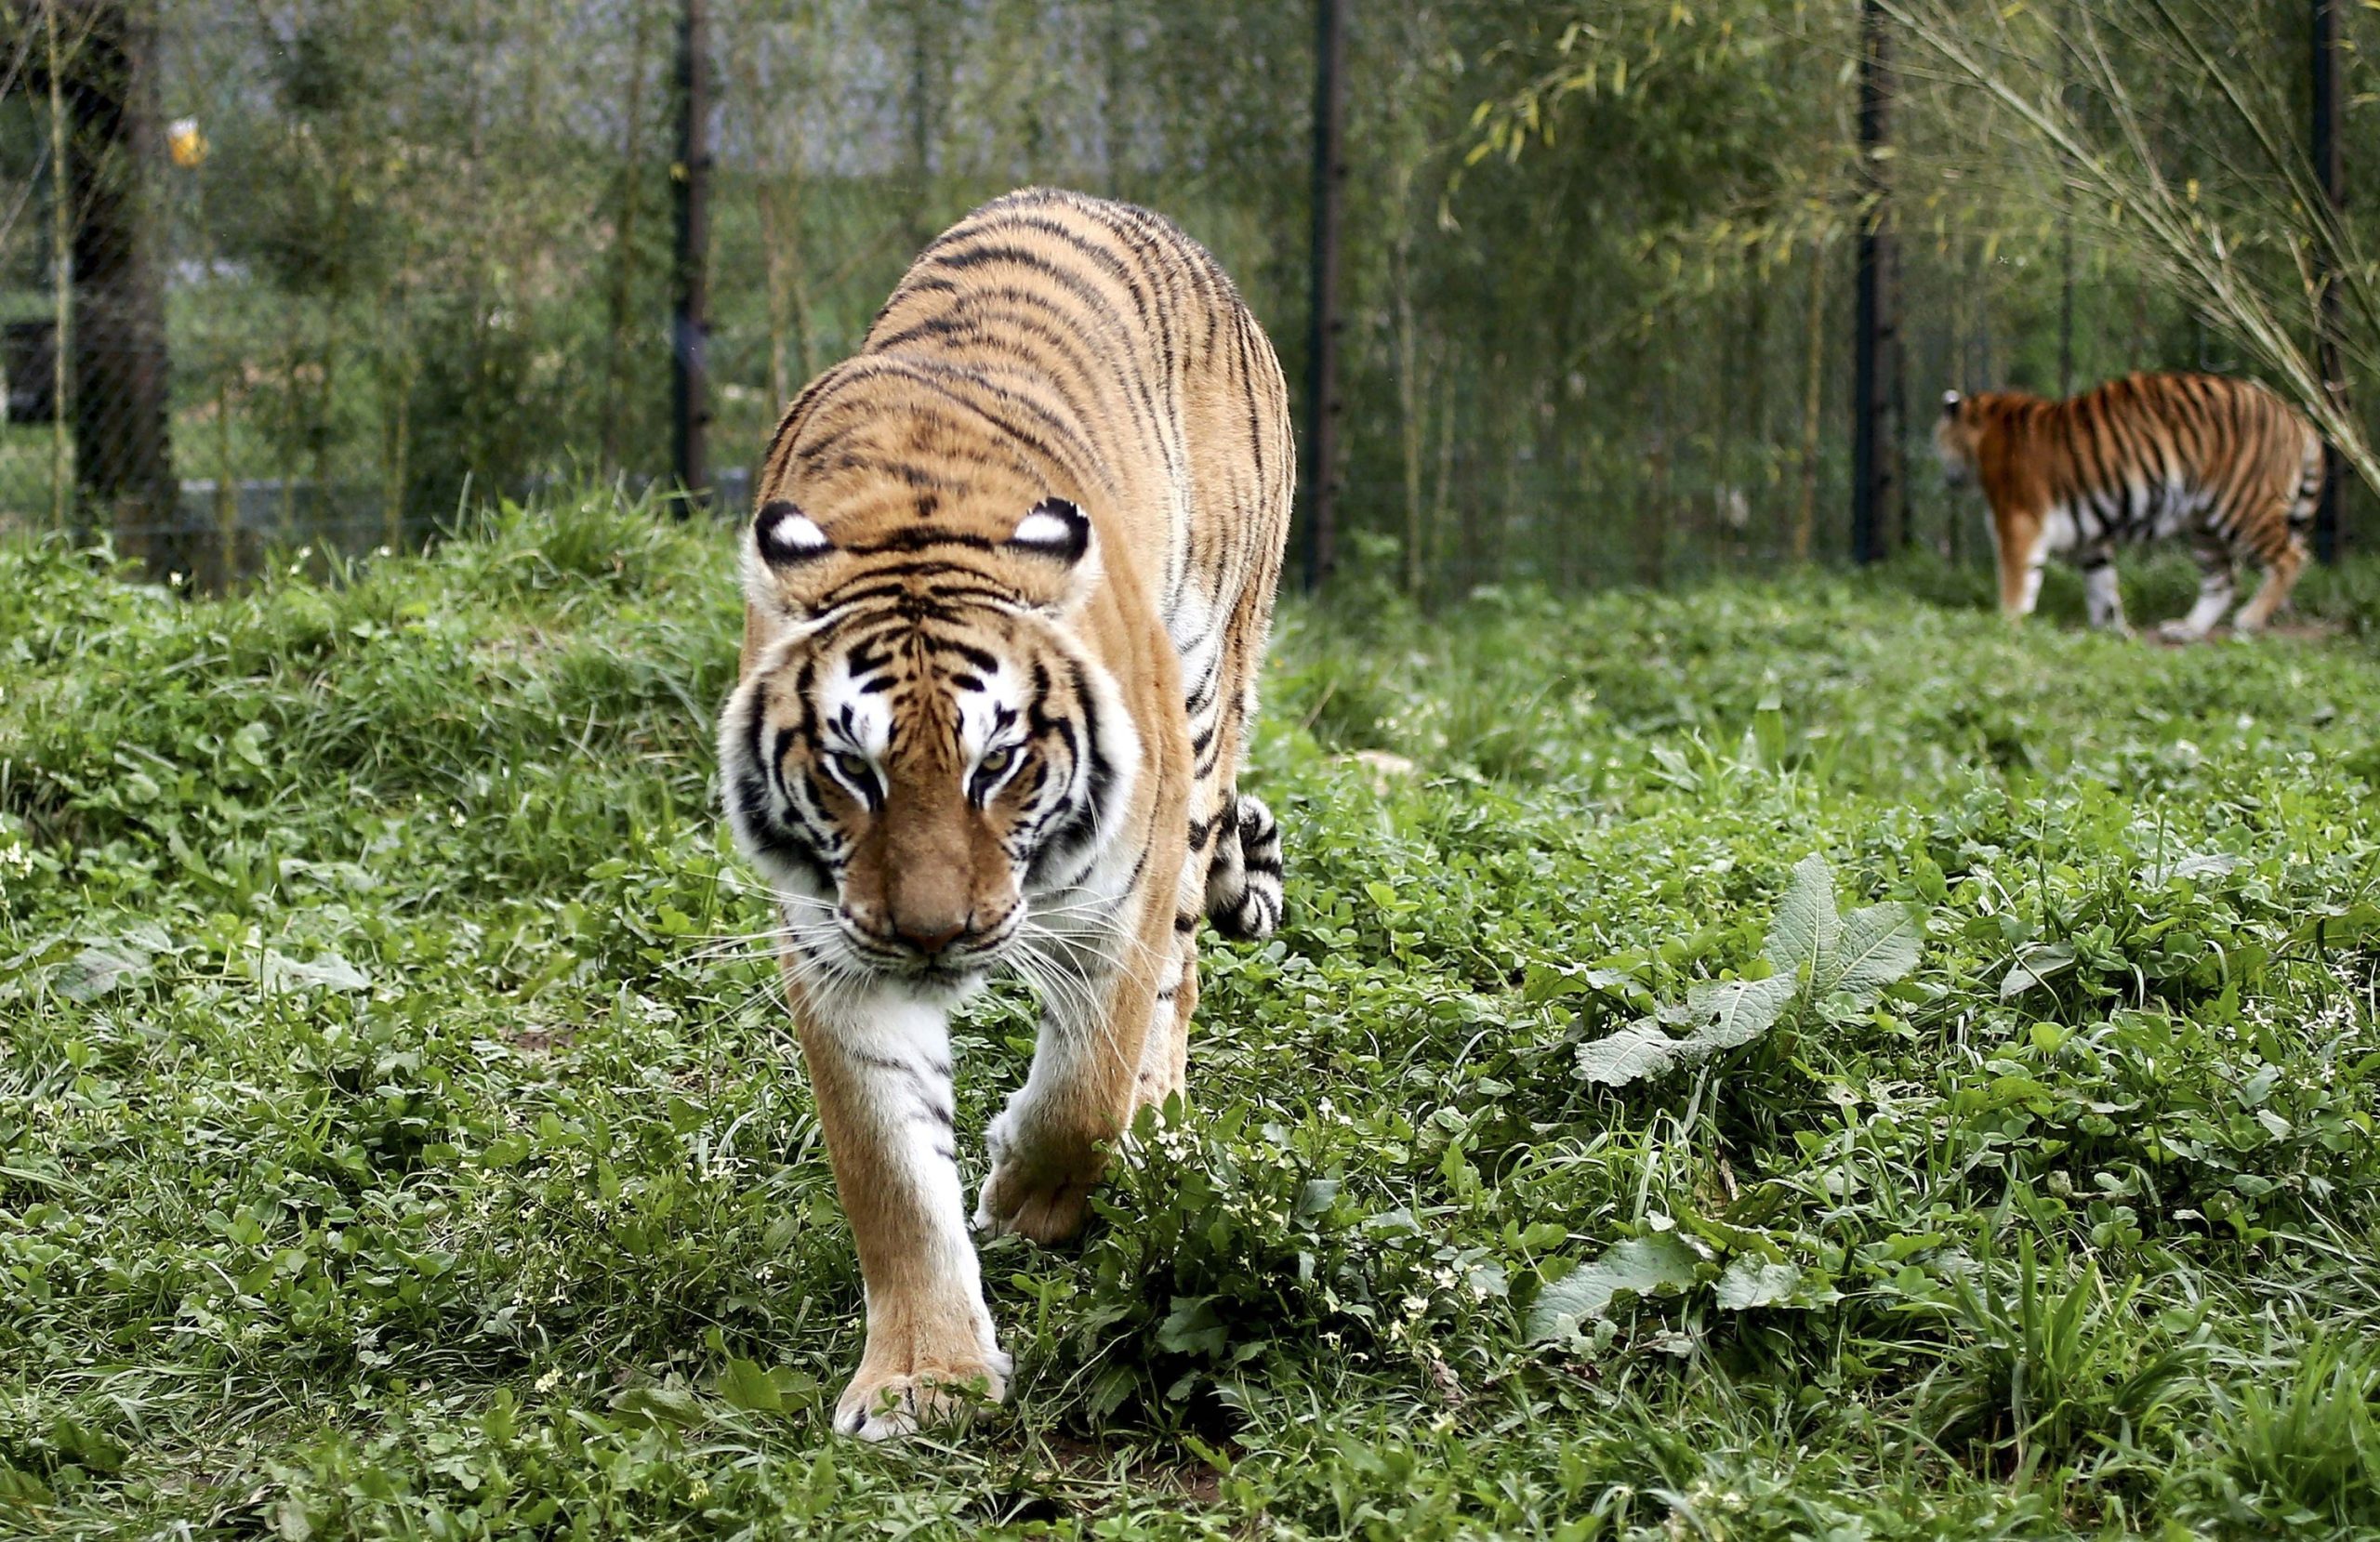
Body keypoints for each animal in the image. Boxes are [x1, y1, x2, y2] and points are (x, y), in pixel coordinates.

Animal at [715, 188, 1292, 1439]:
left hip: (1207, 702)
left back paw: (1159, 1125)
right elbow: (888, 1170)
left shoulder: (1120, 891)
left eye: (1001, 766)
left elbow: (1083, 1090)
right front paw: (923, 1380)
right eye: (852, 770)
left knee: (1177, 982)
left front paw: (1026, 1199)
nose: (935, 937)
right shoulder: (834, 942)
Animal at [1934, 371, 2324, 640]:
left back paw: (2249, 619)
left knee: (2291, 558)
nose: (1945, 476)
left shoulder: (2018, 521)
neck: (1984, 432)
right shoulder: (2090, 539)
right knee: (2223, 579)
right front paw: (2114, 633)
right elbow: (2103, 587)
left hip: (2243, 505)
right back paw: (2186, 629)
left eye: (1939, 441)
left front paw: (2006, 625)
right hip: (2203, 525)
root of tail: (2295, 415)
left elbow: (2017, 581)